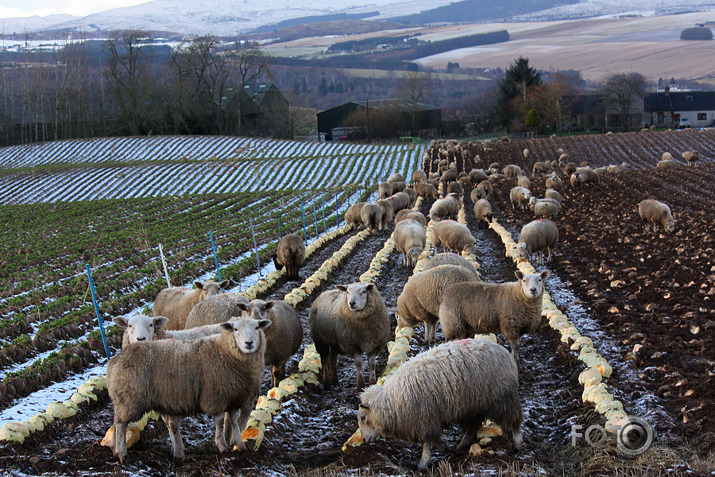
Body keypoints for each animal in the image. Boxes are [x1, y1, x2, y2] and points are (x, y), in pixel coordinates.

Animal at [106, 316, 272, 462]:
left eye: (256, 327)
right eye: (235, 329)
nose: (249, 343)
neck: (224, 352)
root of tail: (115, 361)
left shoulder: (232, 395)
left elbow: (233, 421)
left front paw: (238, 444)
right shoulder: (216, 396)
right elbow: (219, 421)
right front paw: (223, 446)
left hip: (124, 399)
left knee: (115, 420)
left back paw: (114, 449)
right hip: (130, 398)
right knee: (120, 423)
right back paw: (121, 453)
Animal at [356, 336, 520, 470]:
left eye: (363, 418)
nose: (364, 440)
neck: (392, 401)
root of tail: (504, 352)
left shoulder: (425, 419)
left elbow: (428, 442)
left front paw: (424, 462)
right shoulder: (425, 420)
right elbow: (431, 440)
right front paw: (442, 450)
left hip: (502, 399)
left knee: (515, 421)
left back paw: (517, 444)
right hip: (475, 406)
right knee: (472, 428)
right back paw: (460, 447)